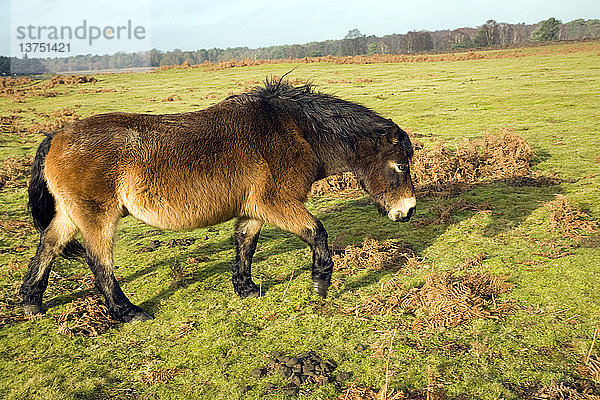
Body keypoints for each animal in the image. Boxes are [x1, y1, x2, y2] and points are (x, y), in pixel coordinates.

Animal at [21, 80, 414, 322]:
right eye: (401, 164)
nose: (408, 211)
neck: (295, 131)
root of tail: (56, 136)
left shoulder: (254, 209)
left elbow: (245, 244)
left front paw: (246, 288)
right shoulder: (277, 203)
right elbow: (317, 233)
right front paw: (320, 283)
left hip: (70, 214)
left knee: (48, 246)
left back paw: (31, 302)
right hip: (96, 216)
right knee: (99, 262)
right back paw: (128, 312)